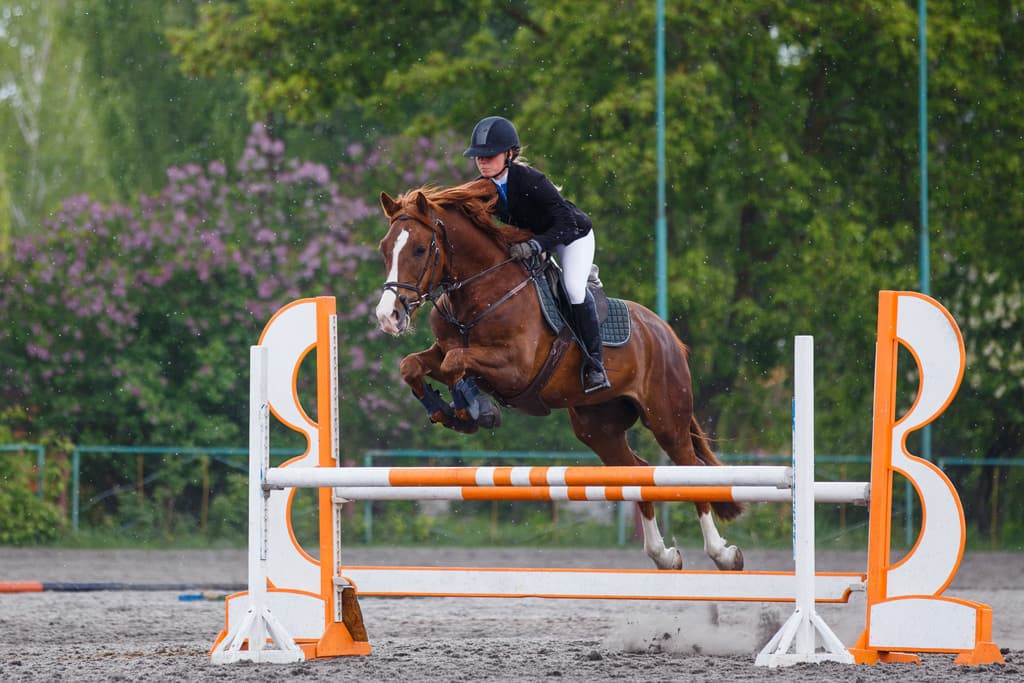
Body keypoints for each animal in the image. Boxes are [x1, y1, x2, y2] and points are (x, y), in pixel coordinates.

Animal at [374, 179, 744, 571]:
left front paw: (475, 411)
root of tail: (667, 334)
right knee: (636, 470)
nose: (388, 316)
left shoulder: (515, 368)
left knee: (690, 468)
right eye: (384, 249)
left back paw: (722, 553)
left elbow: (456, 363)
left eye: (418, 249)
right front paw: (449, 412)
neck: (481, 292)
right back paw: (663, 554)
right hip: (598, 428)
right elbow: (415, 365)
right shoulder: (446, 351)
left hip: (666, 419)